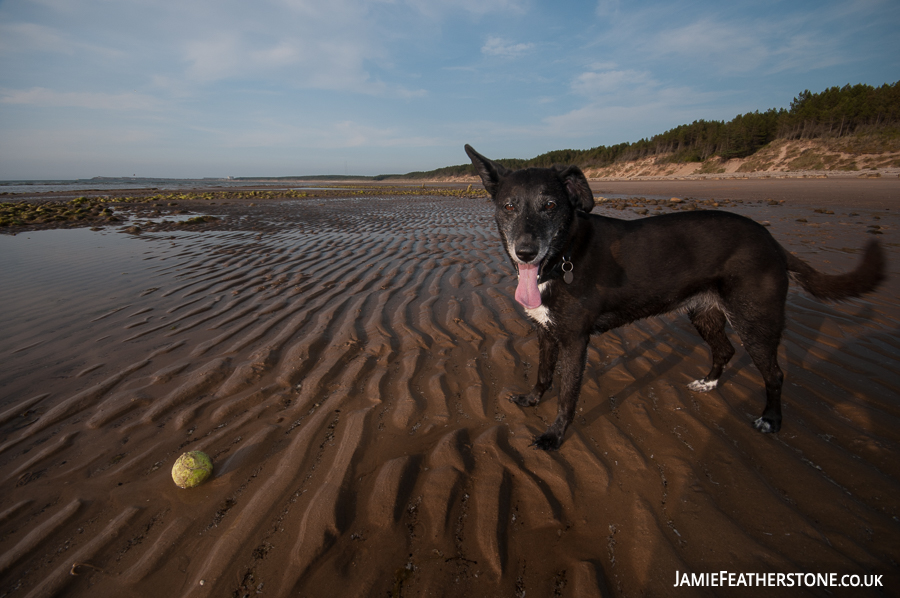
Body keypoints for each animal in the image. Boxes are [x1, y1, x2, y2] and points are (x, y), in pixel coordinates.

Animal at [464, 145, 884, 452]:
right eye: (509, 206)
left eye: (551, 206)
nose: (526, 252)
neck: (565, 254)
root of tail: (772, 242)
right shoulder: (546, 332)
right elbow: (543, 374)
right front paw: (532, 400)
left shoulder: (574, 341)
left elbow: (567, 394)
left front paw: (554, 436)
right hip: (704, 315)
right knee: (725, 350)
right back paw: (709, 384)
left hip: (756, 320)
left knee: (775, 373)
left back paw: (772, 419)